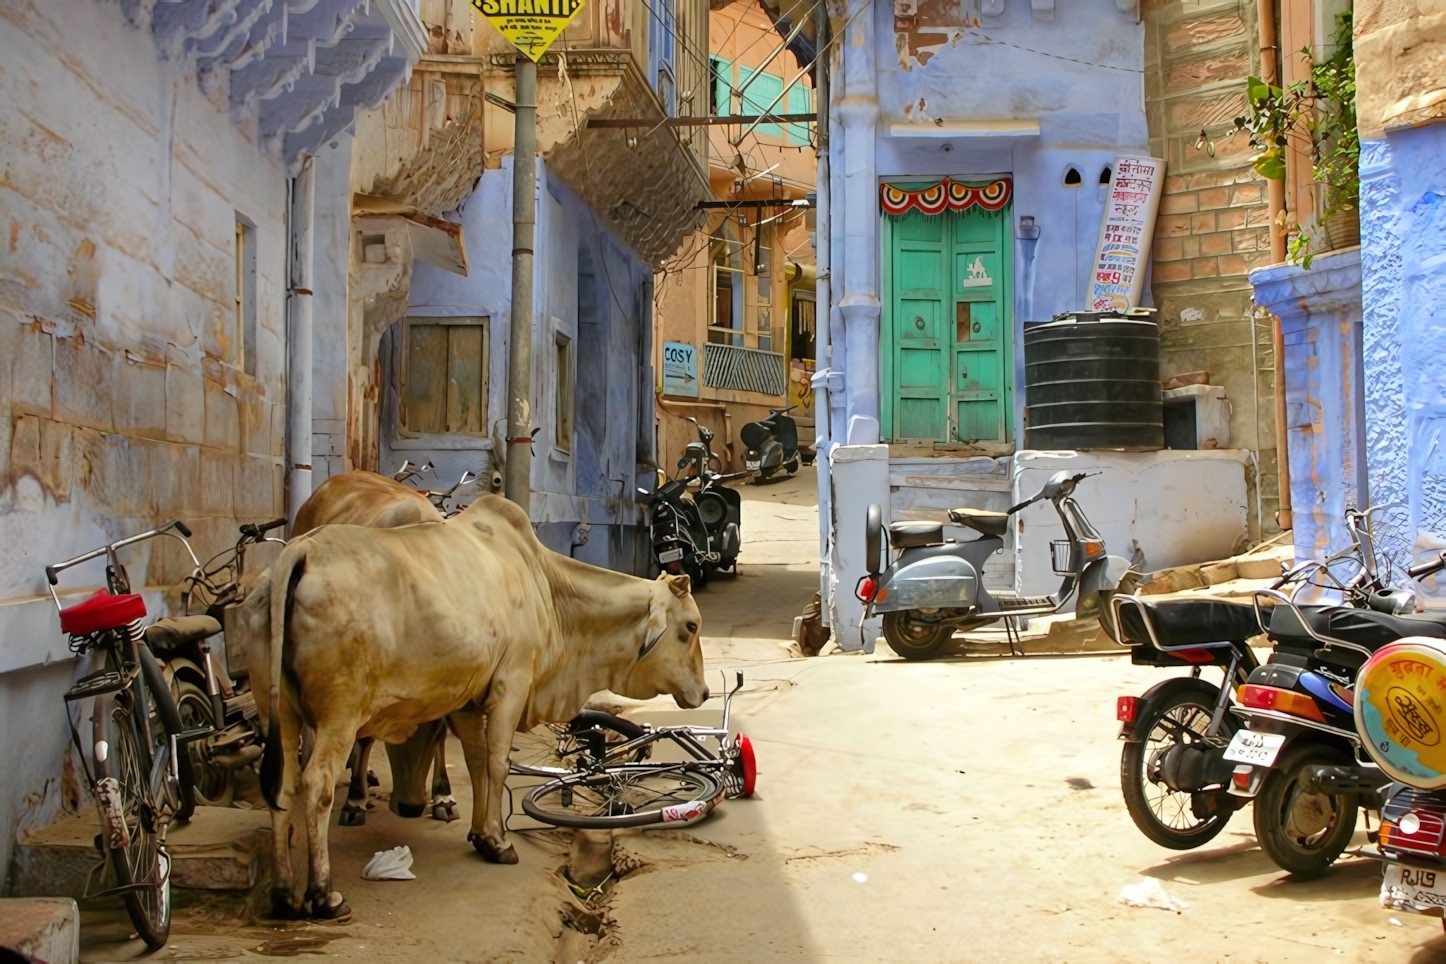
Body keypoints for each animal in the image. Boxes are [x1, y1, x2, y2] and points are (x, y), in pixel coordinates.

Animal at [253, 494, 705, 924]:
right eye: (691, 626)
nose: (702, 693)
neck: (547, 589)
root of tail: (303, 551)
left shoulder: (469, 702)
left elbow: (475, 762)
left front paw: (479, 834)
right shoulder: (512, 686)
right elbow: (497, 764)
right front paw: (498, 840)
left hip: (278, 711)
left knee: (282, 785)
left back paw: (283, 893)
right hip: (340, 717)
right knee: (316, 784)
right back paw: (324, 894)